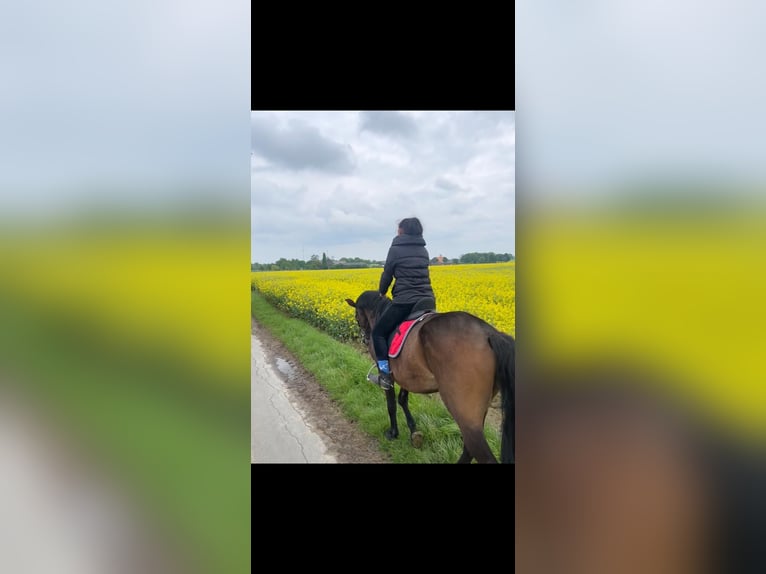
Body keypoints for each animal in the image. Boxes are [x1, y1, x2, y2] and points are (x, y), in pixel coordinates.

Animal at [344, 290, 512, 466]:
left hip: (465, 414)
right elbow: (402, 399)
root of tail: (489, 334)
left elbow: (391, 404)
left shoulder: (387, 375)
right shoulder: (407, 375)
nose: (365, 338)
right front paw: (414, 432)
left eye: (357, 316)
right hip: (478, 412)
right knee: (469, 449)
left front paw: (393, 433)